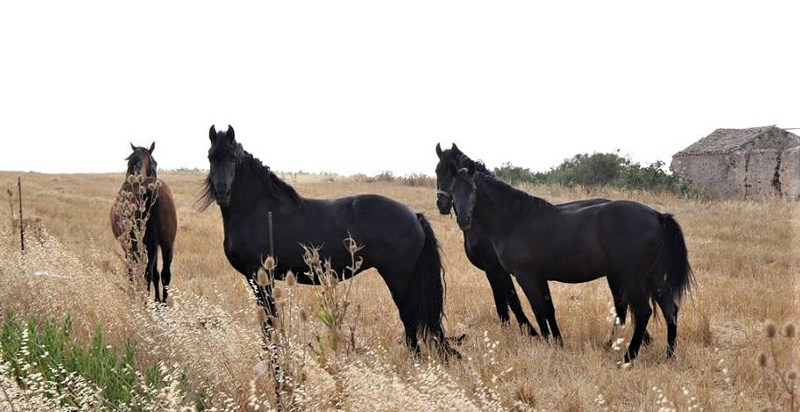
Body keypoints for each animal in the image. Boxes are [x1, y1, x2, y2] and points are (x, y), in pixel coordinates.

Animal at [109, 143, 177, 304]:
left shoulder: (130, 247)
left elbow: (132, 272)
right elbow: (156, 273)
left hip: (142, 245)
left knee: (145, 274)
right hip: (167, 243)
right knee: (164, 274)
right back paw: (162, 303)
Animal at [199, 124, 460, 358]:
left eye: (233, 158)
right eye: (210, 156)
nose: (222, 192)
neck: (259, 209)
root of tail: (414, 216)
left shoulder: (260, 276)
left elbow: (270, 322)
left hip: (398, 278)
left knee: (408, 315)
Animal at [432, 144, 648, 344]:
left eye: (448, 171)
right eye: (436, 170)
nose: (442, 203)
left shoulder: (497, 269)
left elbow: (510, 303)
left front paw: (529, 334)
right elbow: (540, 306)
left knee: (625, 306)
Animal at [446, 159, 692, 362]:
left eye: (473, 188)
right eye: (452, 189)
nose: (464, 219)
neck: (516, 220)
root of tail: (657, 216)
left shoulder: (526, 276)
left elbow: (538, 309)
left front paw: (546, 343)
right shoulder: (539, 277)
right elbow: (548, 308)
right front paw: (557, 342)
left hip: (633, 279)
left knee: (642, 313)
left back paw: (627, 358)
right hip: (653, 278)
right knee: (670, 309)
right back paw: (668, 356)